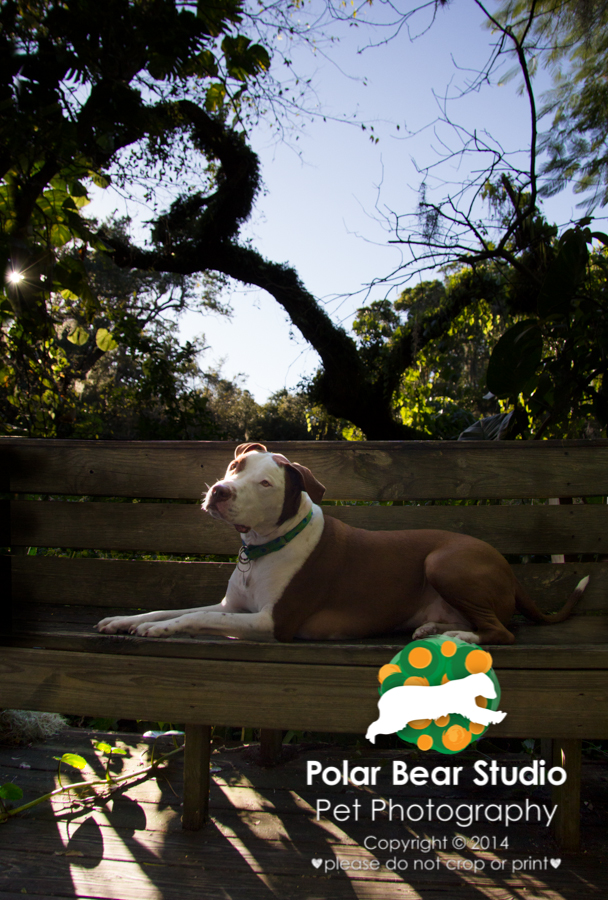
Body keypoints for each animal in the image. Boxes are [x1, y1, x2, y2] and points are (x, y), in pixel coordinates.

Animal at [96, 442, 588, 640]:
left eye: (267, 484)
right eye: (237, 467)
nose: (220, 491)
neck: (264, 546)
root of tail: (506, 566)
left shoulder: (271, 622)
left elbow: (193, 618)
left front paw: (159, 630)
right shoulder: (232, 607)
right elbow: (173, 609)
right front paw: (125, 619)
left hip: (445, 562)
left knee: (502, 633)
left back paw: (455, 638)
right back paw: (435, 630)